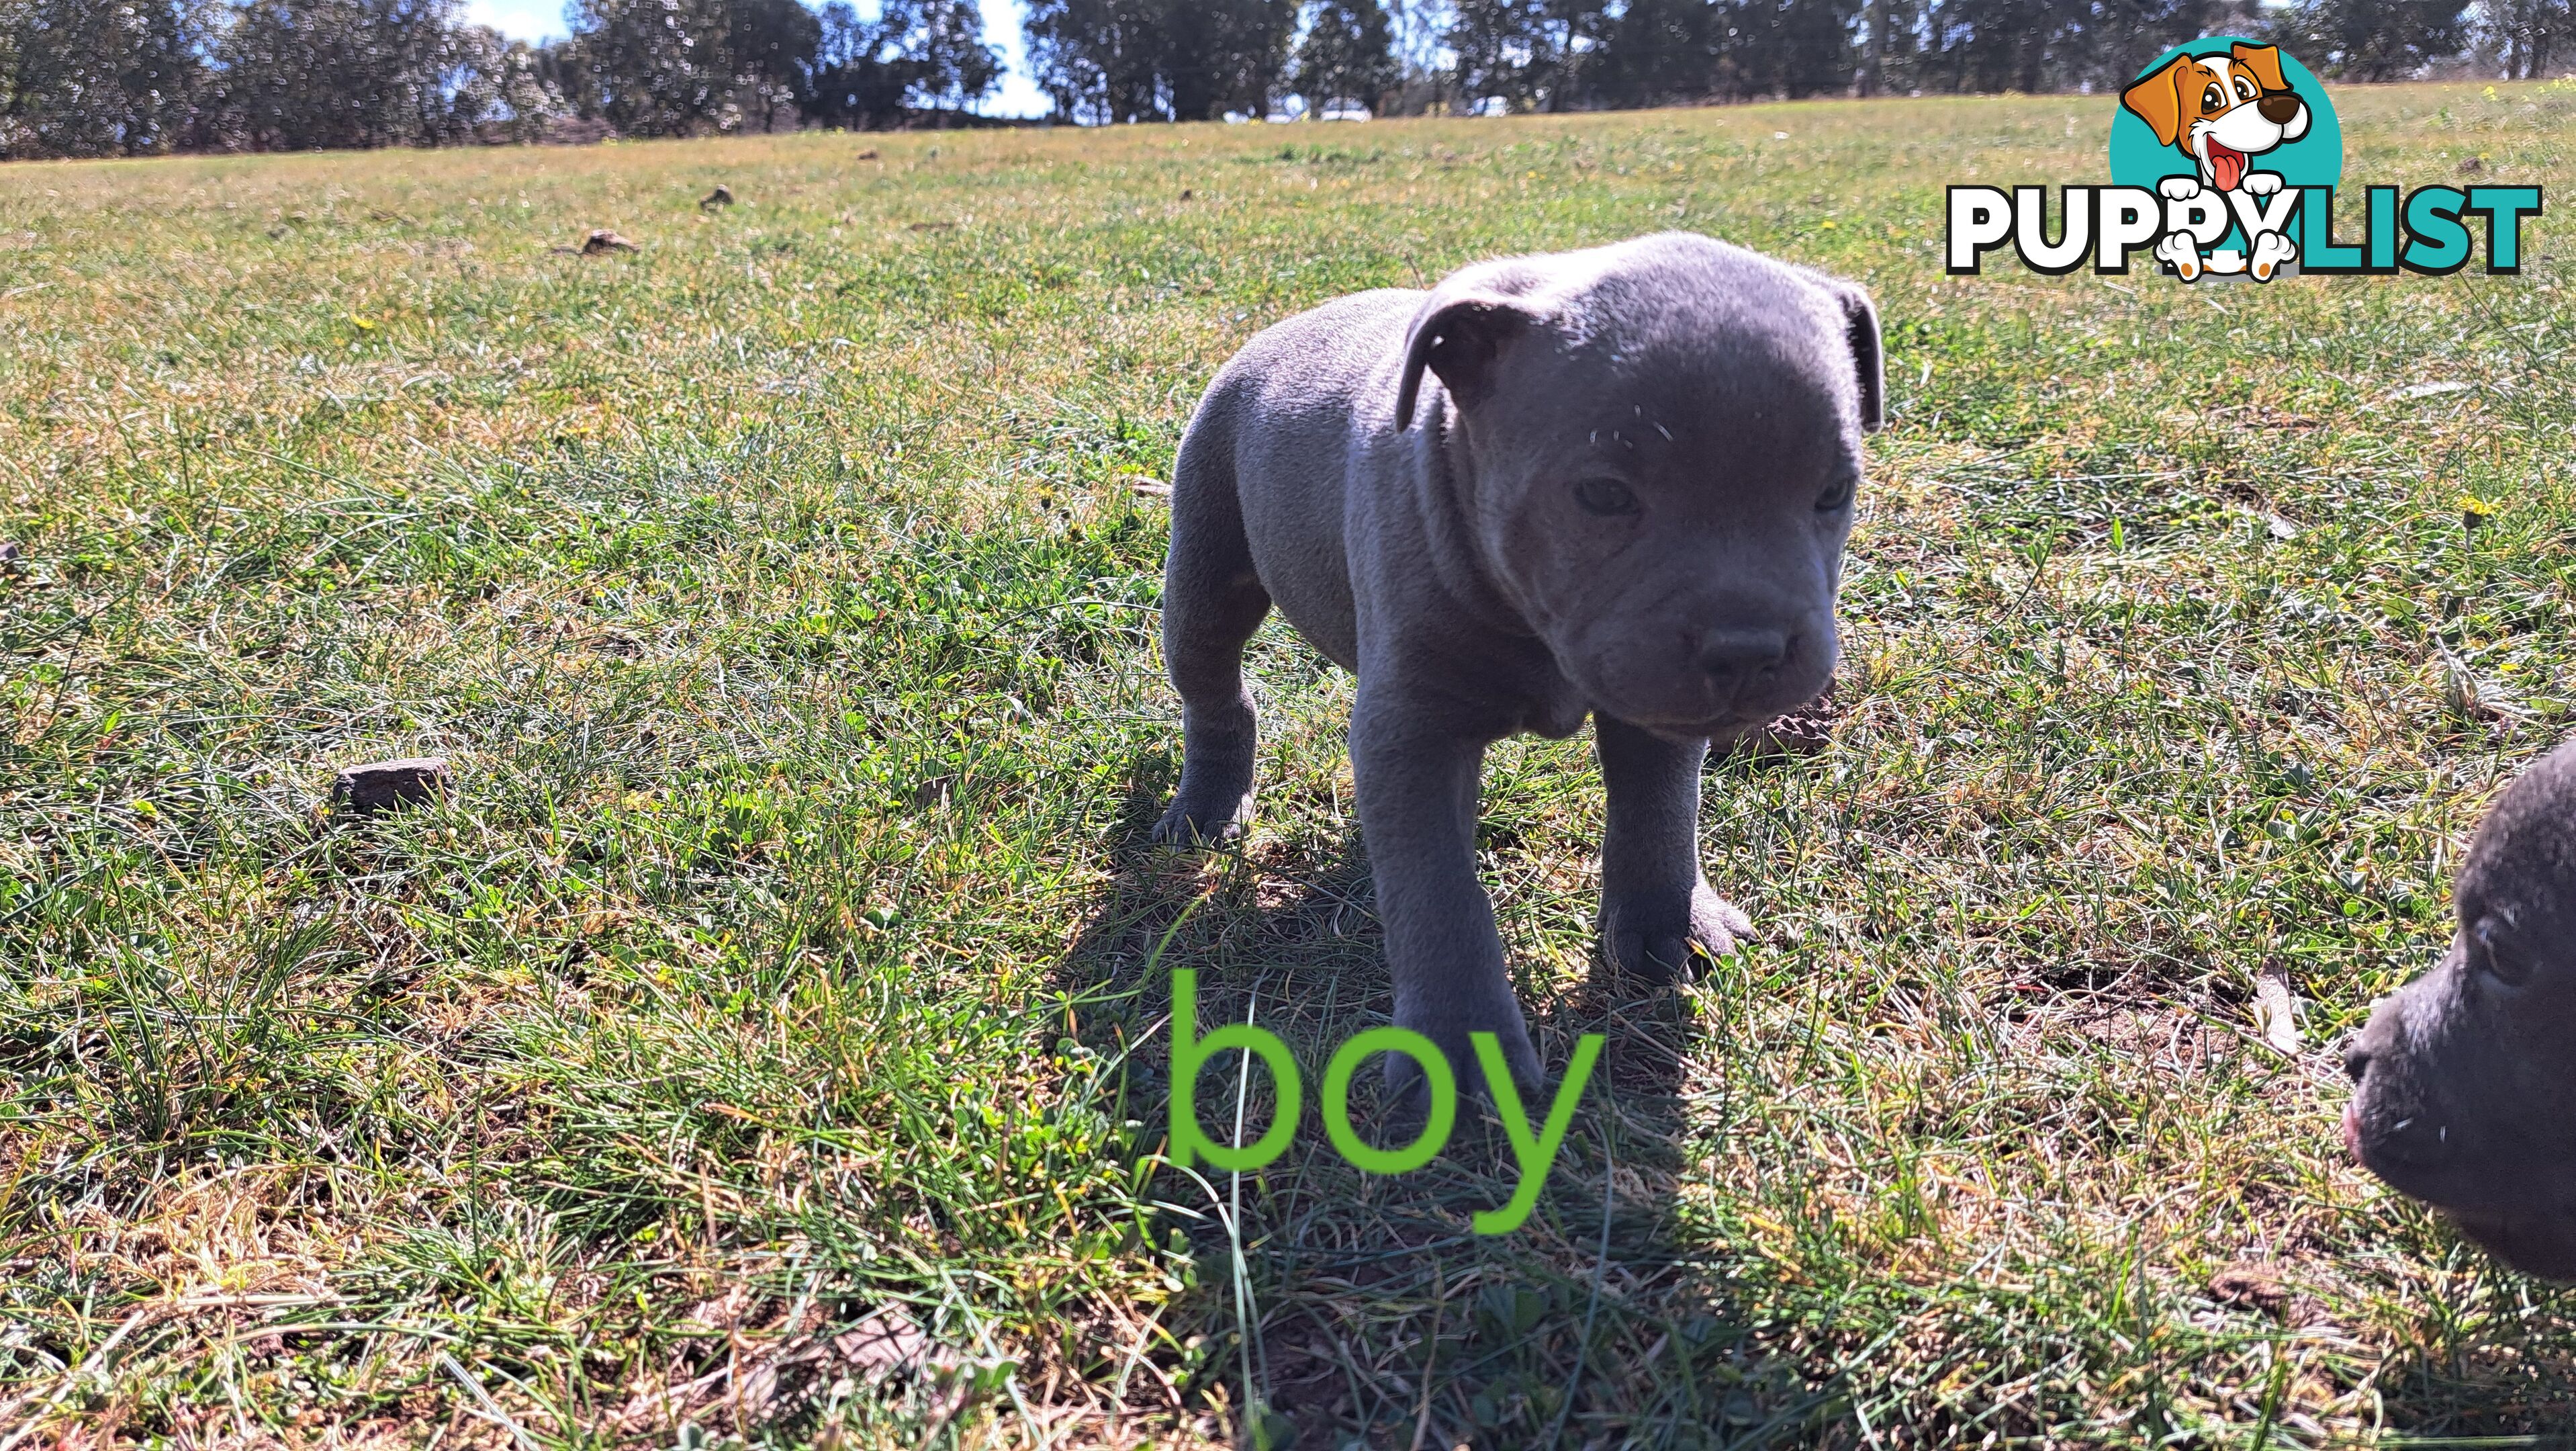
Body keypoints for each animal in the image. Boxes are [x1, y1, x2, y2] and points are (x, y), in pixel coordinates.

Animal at [1159, 229, 1885, 1092]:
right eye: (1603, 495)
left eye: (1833, 491)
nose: (1749, 650)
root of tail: (1275, 333)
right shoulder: (1410, 733)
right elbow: (1438, 891)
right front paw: (1456, 1047)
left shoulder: (1654, 707)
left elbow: (1658, 813)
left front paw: (1669, 924)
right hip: (1206, 568)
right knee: (1215, 692)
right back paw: (1206, 805)